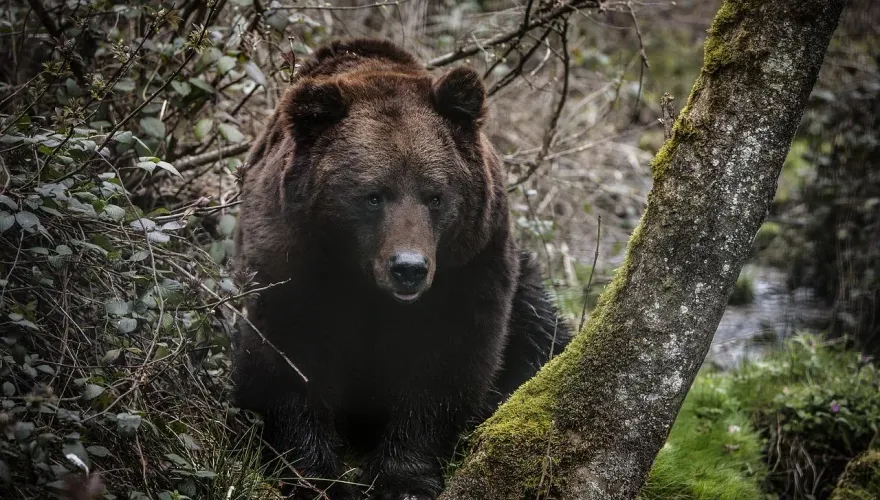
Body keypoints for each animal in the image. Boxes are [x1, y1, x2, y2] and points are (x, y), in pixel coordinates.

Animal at [230, 37, 571, 500]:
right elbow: (291, 358)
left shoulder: (469, 264)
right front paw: (314, 477)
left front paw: (403, 478)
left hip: (524, 289)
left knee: (543, 335)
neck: (361, 277)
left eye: (435, 196)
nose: (408, 268)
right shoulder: (292, 258)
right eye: (374, 195)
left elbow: (445, 362)